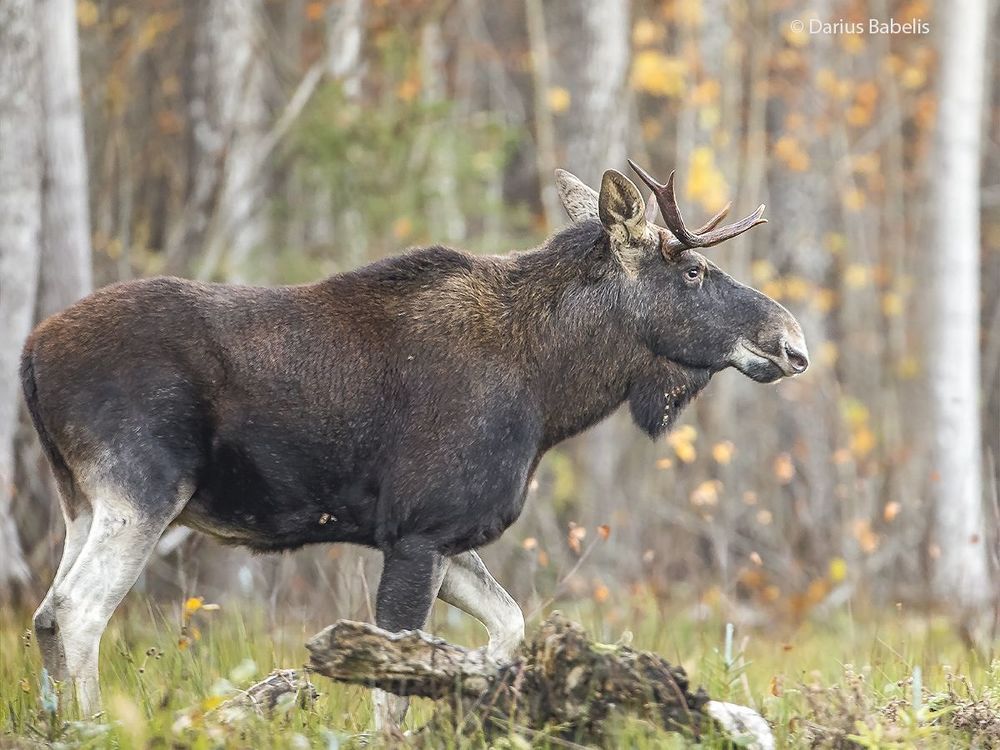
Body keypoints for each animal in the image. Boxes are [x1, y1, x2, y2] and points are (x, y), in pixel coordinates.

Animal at [21, 161, 807, 728]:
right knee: (80, 612)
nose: (792, 344)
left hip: (81, 501)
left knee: (47, 614)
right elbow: (390, 685)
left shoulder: (443, 536)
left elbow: (505, 629)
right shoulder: (420, 532)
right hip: (142, 490)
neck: (550, 388)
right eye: (694, 271)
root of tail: (30, 354)